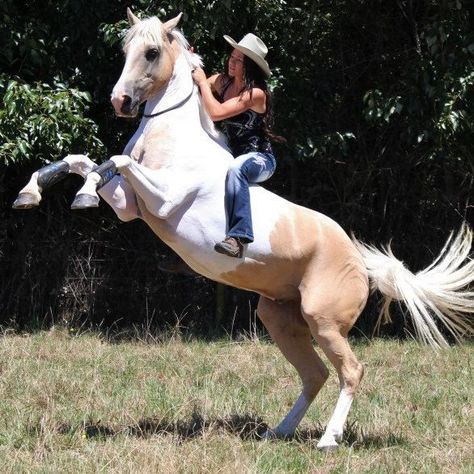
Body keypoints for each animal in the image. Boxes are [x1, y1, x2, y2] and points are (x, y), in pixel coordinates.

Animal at [12, 9, 474, 450]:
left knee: (351, 371)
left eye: (152, 52)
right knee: (315, 375)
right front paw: (32, 193)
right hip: (279, 318)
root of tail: (361, 263)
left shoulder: (161, 200)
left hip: (323, 321)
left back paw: (328, 440)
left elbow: (113, 161)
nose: (120, 101)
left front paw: (80, 195)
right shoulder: (130, 206)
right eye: (125, 50)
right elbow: (83, 160)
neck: (172, 138)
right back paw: (278, 433)